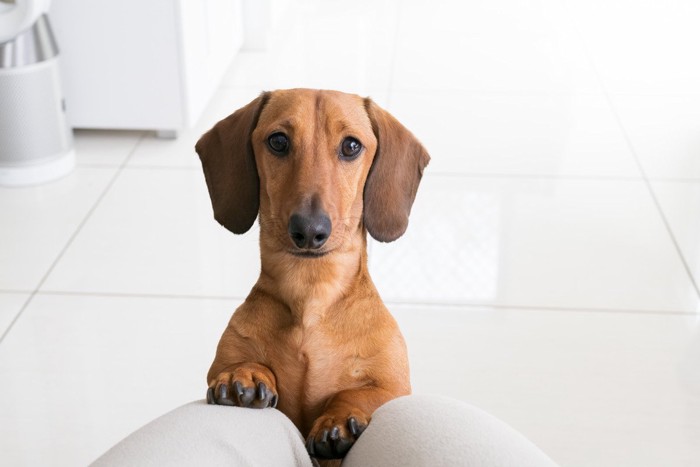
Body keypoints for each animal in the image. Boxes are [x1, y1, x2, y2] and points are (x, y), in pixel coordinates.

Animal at [194, 89, 430, 462]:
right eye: (278, 141)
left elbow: (358, 393)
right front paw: (242, 374)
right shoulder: (222, 361)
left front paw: (338, 419)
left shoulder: (393, 387)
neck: (312, 292)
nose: (308, 230)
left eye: (351, 145)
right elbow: (237, 364)